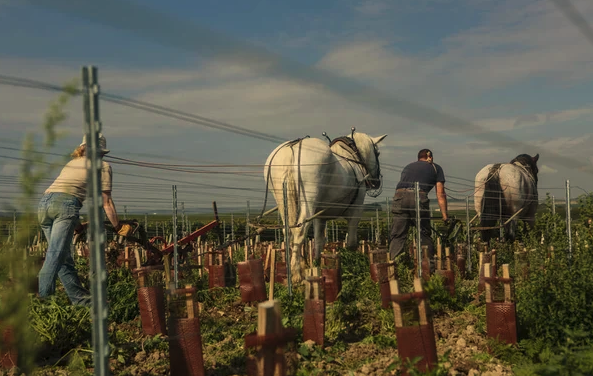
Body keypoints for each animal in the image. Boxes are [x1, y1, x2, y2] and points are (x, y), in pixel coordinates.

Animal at [262, 129, 386, 282]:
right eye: (378, 153)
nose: (376, 182)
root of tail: (292, 150)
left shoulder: (320, 218)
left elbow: (319, 241)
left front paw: (316, 265)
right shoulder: (356, 211)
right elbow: (351, 242)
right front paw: (352, 264)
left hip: (282, 200)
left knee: (288, 232)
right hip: (308, 201)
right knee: (300, 231)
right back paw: (296, 273)